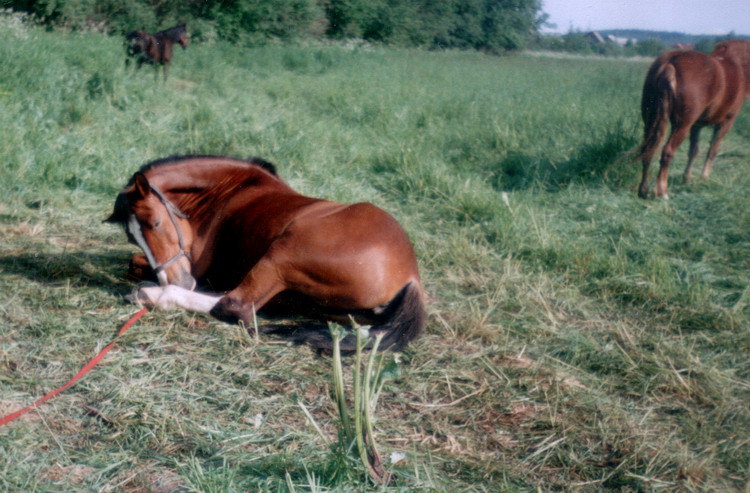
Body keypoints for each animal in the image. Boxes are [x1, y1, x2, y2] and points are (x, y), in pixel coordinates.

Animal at [104, 154, 428, 350]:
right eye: (132, 237)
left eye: (155, 223)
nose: (176, 280)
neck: (229, 191)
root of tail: (411, 276)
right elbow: (132, 262)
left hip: (282, 255)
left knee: (236, 305)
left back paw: (151, 294)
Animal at [640, 40, 750, 198]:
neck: (737, 64)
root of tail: (671, 62)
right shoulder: (726, 122)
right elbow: (712, 150)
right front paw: (704, 177)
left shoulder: (696, 125)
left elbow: (694, 151)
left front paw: (687, 178)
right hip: (682, 126)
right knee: (667, 151)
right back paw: (662, 191)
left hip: (650, 120)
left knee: (648, 149)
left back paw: (643, 190)